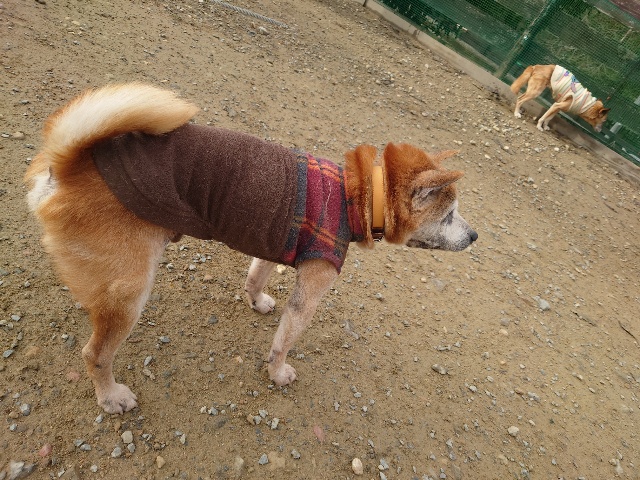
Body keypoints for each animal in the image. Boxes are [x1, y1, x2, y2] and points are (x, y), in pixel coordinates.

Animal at [25, 83, 478, 414]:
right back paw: (111, 396)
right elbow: (284, 340)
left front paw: (257, 301)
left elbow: (255, 277)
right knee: (95, 354)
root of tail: (69, 165)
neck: (359, 196)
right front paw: (278, 373)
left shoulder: (270, 246)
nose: (474, 236)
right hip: (130, 294)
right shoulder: (311, 291)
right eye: (450, 215)